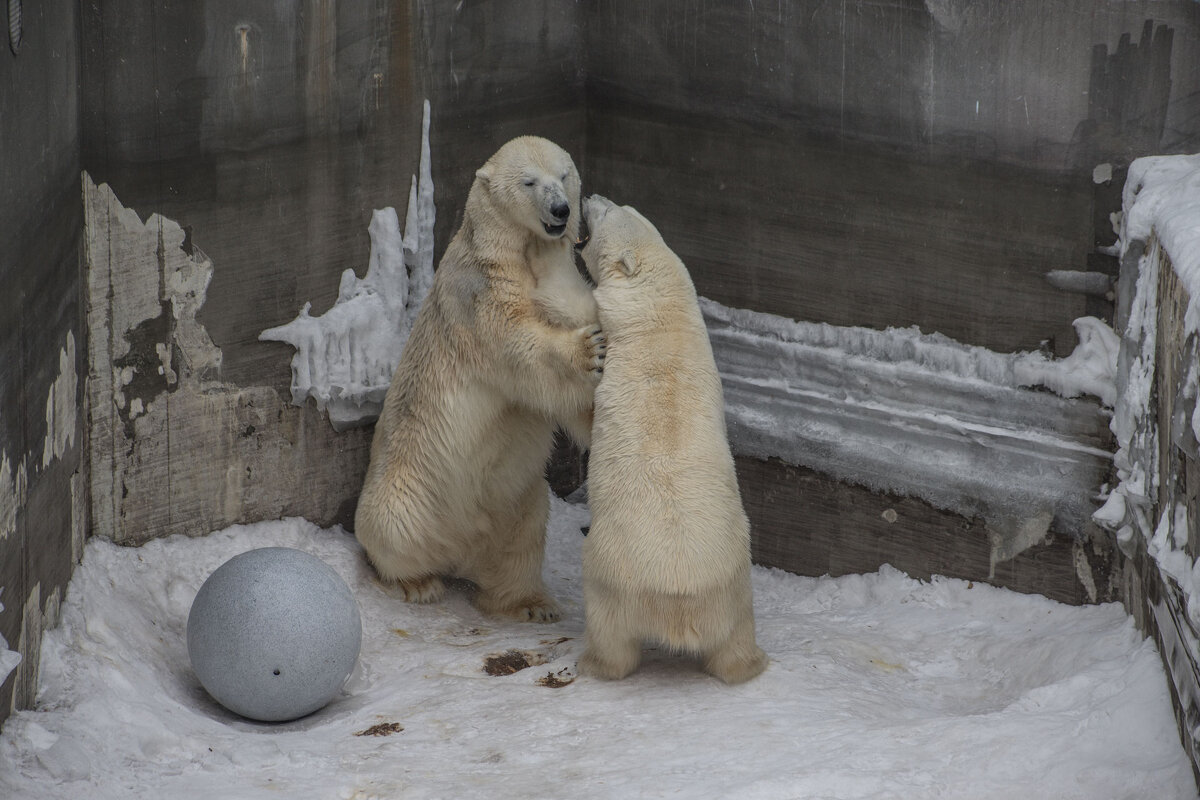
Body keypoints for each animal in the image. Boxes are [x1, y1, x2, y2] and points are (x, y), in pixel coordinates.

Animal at [350, 137, 604, 623]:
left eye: (563, 175)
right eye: (529, 182)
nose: (561, 210)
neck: (509, 251)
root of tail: (456, 552)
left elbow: (563, 402)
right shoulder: (479, 290)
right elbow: (517, 344)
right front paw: (589, 349)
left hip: (518, 501)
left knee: (521, 542)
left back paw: (528, 603)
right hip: (407, 486)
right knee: (390, 530)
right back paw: (416, 583)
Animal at [580, 191, 768, 681]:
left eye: (609, 211)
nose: (590, 195)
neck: (659, 318)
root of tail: (678, 601)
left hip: (611, 577)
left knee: (610, 634)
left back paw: (592, 663)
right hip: (732, 585)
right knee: (735, 638)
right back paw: (751, 664)